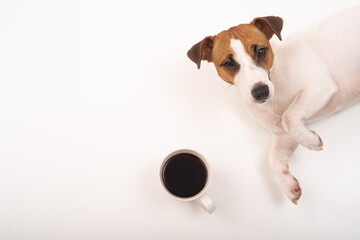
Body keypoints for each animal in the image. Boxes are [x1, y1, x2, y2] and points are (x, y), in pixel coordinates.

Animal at [187, 6, 360, 203]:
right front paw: (287, 183)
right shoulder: (283, 136)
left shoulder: (320, 87)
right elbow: (274, 159)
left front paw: (310, 141)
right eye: (228, 63)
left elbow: (289, 117)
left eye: (261, 51)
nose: (261, 91)